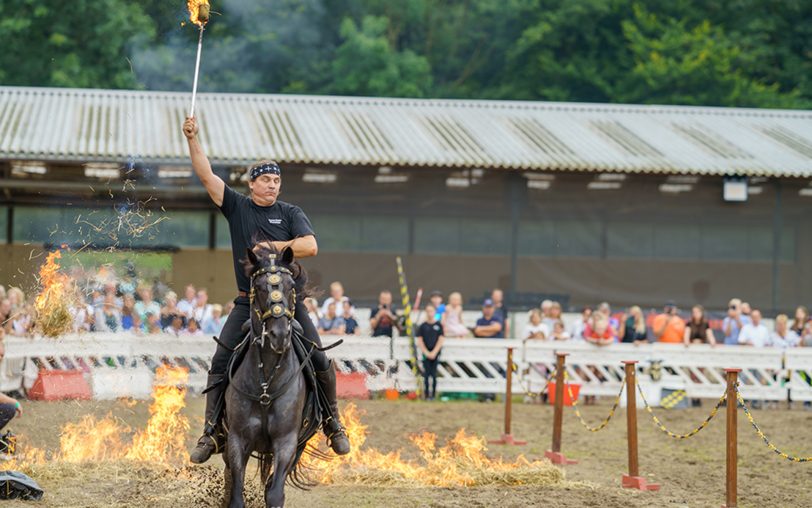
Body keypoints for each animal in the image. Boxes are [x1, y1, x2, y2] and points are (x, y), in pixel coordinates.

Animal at [224, 245, 326, 504]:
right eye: (260, 287)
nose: (279, 335)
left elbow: (275, 493)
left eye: (290, 286)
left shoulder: (286, 441)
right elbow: (236, 492)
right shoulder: (237, 440)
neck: (266, 385)